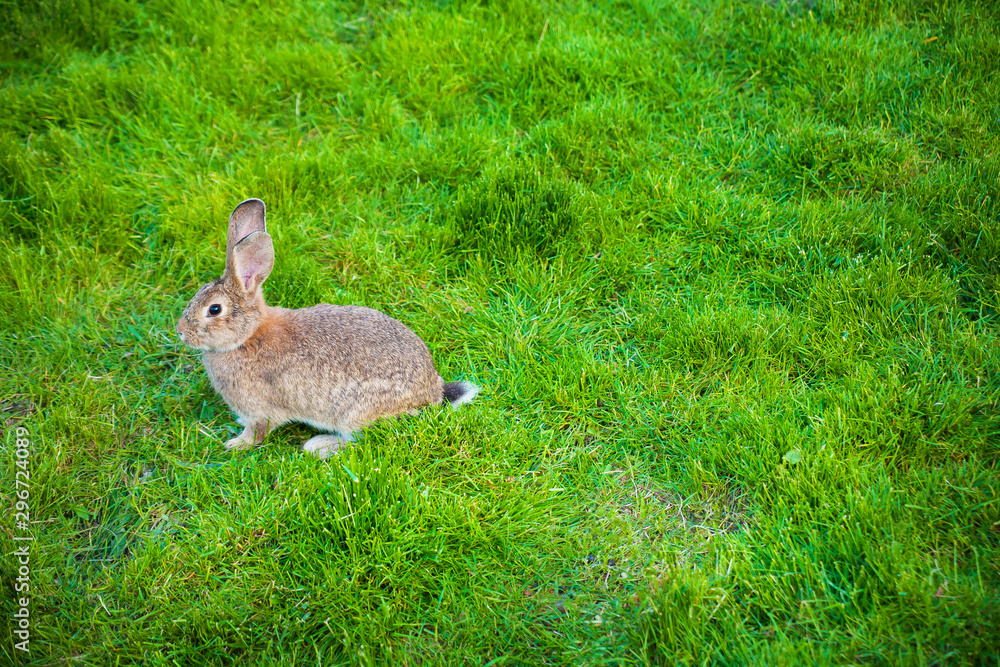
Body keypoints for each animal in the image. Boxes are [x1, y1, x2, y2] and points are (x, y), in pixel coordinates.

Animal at [176, 198, 478, 458]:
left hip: (355, 414)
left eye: (214, 310)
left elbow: (258, 432)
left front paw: (235, 444)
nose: (180, 331)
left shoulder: (259, 409)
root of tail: (431, 393)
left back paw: (319, 446)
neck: (247, 336)